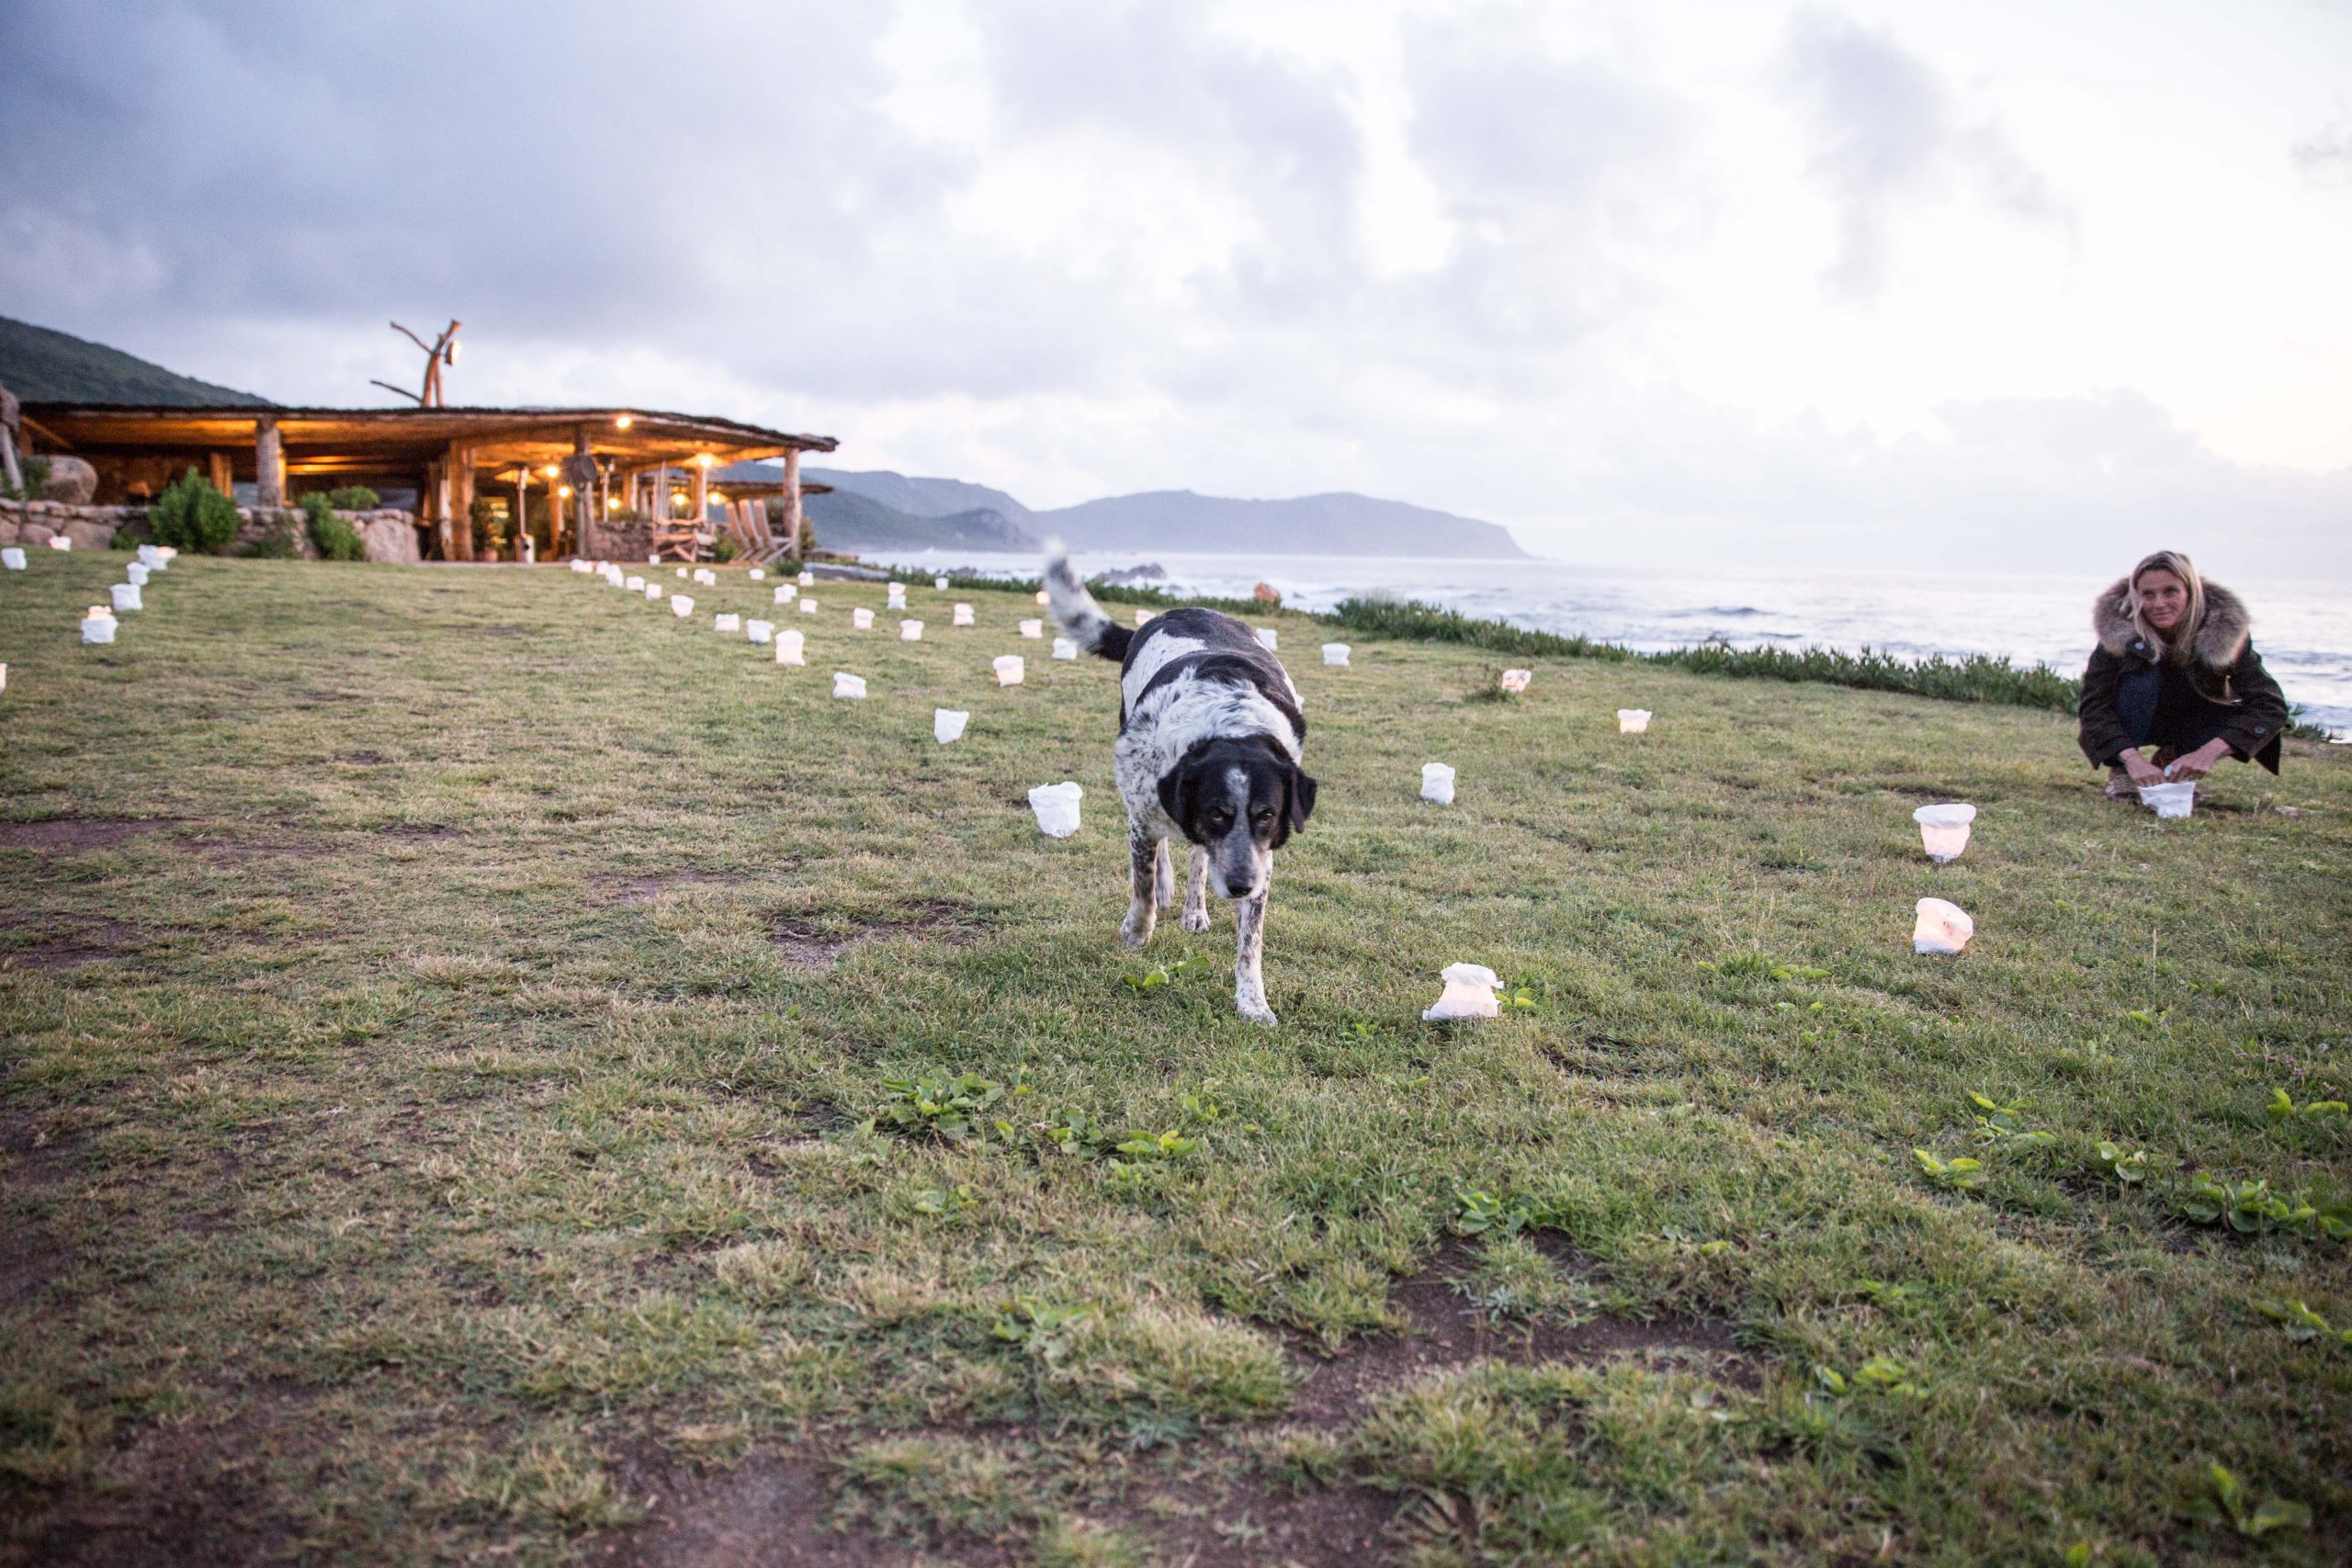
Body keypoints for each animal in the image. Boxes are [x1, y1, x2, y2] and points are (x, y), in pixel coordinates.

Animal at [1043, 544, 1317, 1025]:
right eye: (1217, 812)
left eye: (1267, 815)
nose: (1241, 885)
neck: (1229, 727)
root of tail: (1178, 609)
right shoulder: (1146, 811)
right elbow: (1142, 886)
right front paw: (1137, 931)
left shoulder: (1261, 857)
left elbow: (1250, 941)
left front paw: (1253, 1001)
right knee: (1164, 850)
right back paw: (1167, 887)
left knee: (1197, 856)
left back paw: (1195, 909)